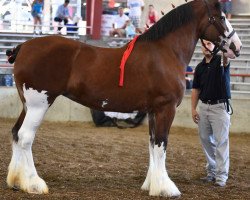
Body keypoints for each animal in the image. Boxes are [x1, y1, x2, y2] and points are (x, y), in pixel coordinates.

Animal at [4, 0, 241, 197]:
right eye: (221, 17)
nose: (237, 47)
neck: (166, 52)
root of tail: (23, 47)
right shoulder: (166, 109)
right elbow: (161, 144)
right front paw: (166, 188)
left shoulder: (153, 111)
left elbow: (152, 144)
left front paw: (151, 185)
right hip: (39, 104)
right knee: (25, 137)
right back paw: (34, 184)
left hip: (28, 105)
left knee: (16, 133)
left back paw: (16, 182)